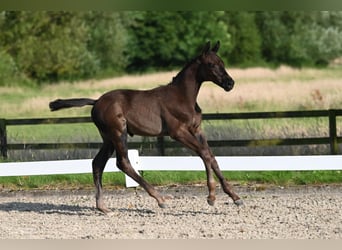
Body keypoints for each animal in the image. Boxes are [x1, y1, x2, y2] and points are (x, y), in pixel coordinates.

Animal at [50, 41, 243, 213]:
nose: (230, 83)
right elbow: (204, 154)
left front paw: (234, 196)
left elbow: (211, 156)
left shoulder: (197, 130)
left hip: (108, 139)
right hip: (118, 132)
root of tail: (96, 101)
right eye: (211, 64)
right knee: (123, 162)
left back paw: (103, 207)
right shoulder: (178, 132)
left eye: (222, 63)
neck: (182, 97)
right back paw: (160, 199)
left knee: (98, 163)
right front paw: (211, 196)